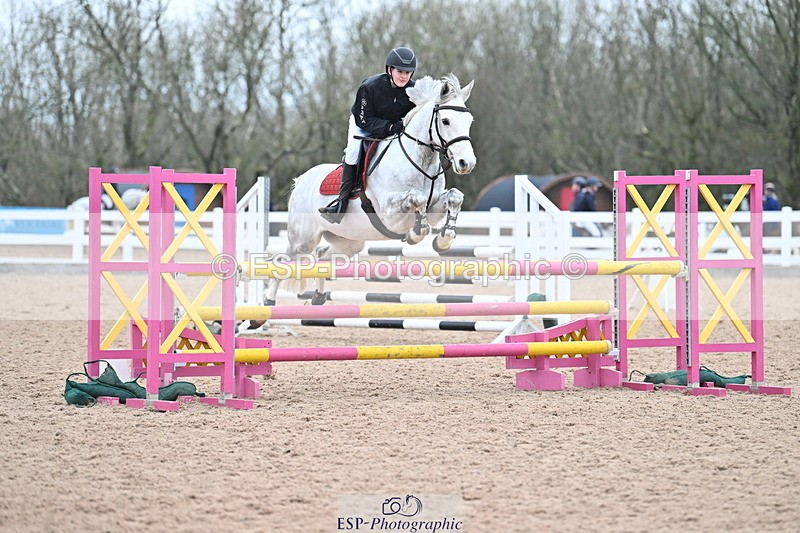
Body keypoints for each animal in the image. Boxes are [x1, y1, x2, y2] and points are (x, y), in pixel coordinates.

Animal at [264, 73, 476, 306]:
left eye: (469, 121)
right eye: (445, 121)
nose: (467, 163)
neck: (421, 160)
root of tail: (301, 180)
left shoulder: (434, 208)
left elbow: (454, 197)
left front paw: (444, 239)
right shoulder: (389, 214)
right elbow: (417, 198)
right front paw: (415, 234)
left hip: (349, 242)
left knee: (322, 256)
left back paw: (318, 297)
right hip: (302, 240)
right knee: (283, 262)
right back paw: (267, 304)